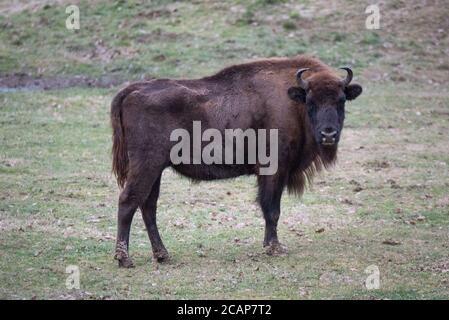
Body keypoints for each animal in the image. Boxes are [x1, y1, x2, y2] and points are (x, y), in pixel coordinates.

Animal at [111, 55, 360, 268]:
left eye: (341, 101)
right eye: (310, 101)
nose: (328, 134)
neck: (292, 100)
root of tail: (131, 90)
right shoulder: (274, 170)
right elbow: (272, 209)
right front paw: (274, 247)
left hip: (156, 169)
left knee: (148, 206)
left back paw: (162, 255)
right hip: (146, 166)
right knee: (128, 201)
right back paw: (125, 259)